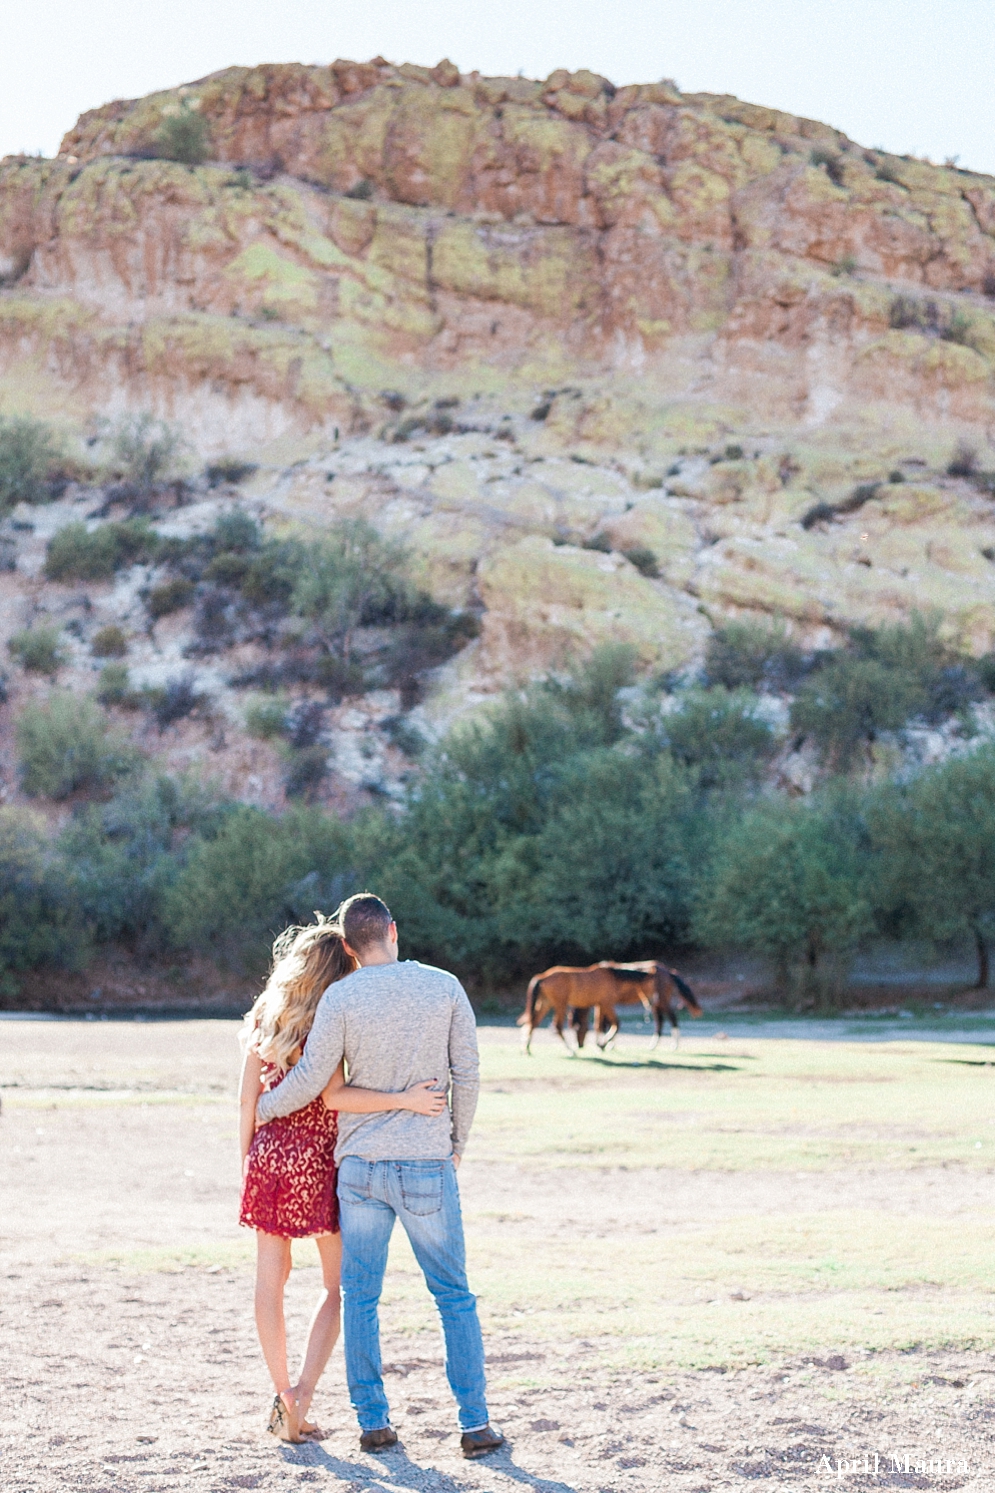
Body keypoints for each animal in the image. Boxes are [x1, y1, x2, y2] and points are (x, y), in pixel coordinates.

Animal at [519, 961, 696, 1057]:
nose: (580, 1045)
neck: (614, 976)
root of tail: (542, 976)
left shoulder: (602, 1004)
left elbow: (603, 1025)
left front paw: (603, 1044)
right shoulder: (606, 1003)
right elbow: (612, 1024)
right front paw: (604, 1044)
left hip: (548, 1004)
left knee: (533, 1024)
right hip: (557, 1004)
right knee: (550, 1026)